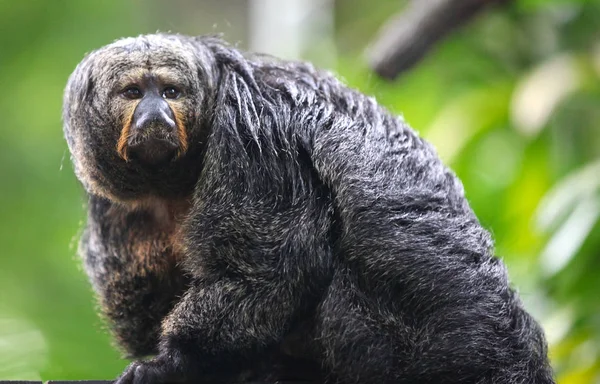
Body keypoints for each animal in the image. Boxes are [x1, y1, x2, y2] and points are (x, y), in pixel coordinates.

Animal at [63, 33, 556, 384]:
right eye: (133, 92)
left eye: (169, 91)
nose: (155, 115)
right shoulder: (113, 199)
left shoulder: (253, 133)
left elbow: (276, 265)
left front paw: (175, 362)